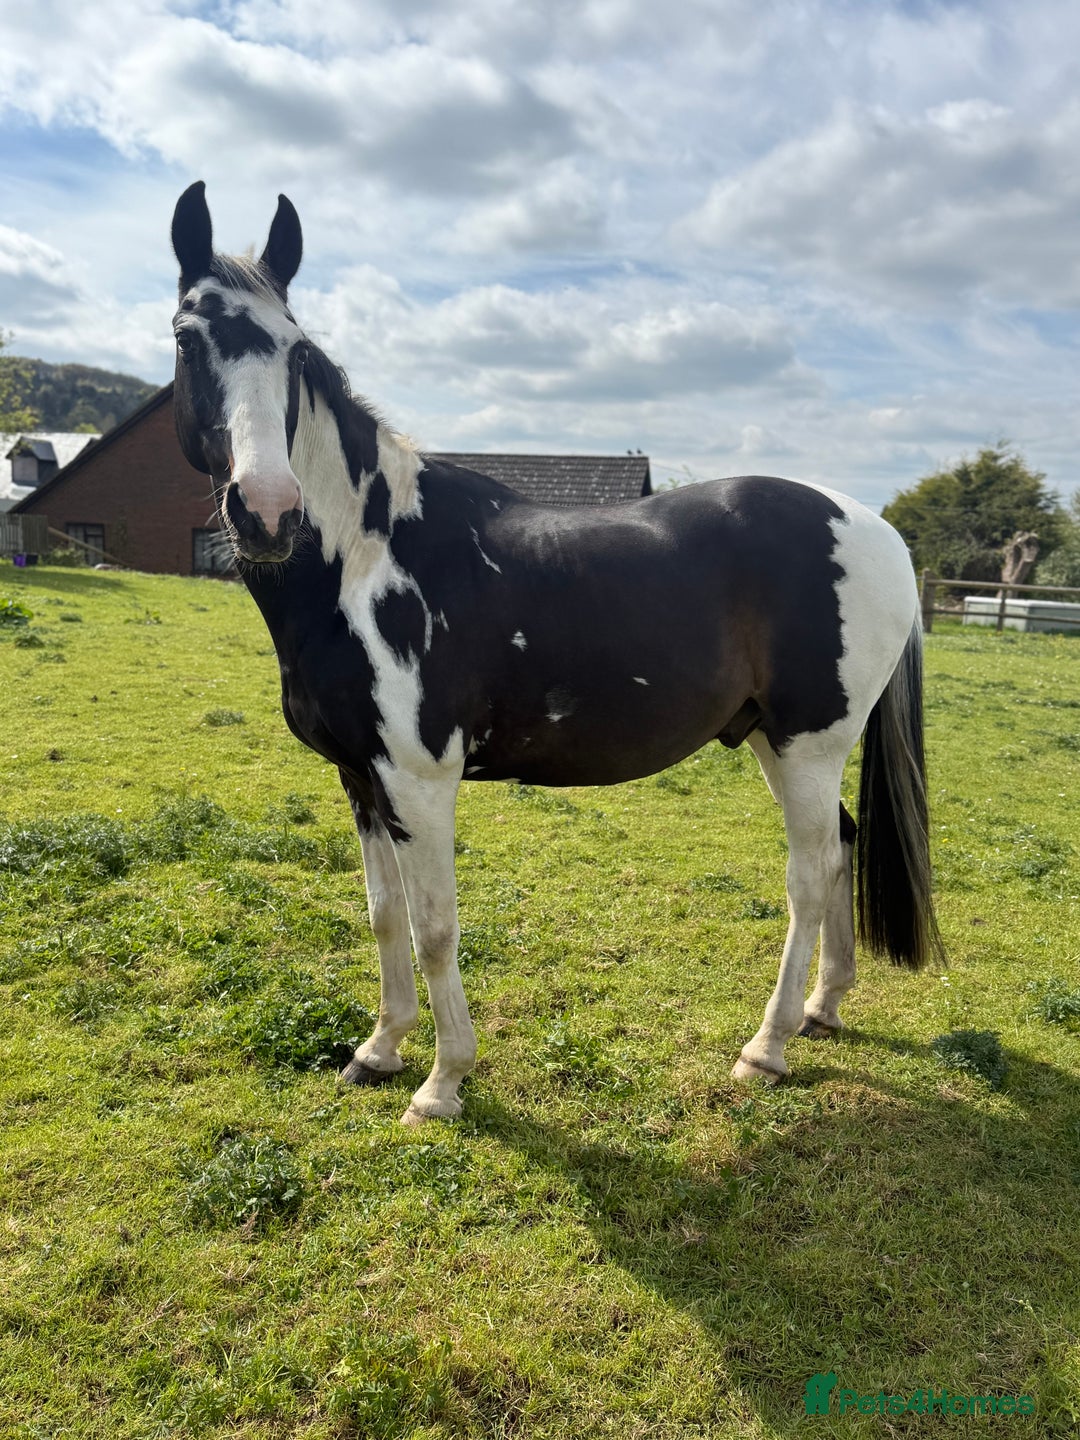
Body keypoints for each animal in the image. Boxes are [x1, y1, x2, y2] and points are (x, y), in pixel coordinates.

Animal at [170, 181, 941, 1124]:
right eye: (188, 335)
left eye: (296, 349)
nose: (268, 508)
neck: (364, 554)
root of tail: (878, 530)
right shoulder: (360, 777)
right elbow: (384, 916)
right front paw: (378, 1051)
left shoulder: (419, 782)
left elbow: (434, 928)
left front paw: (442, 1082)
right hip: (773, 737)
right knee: (840, 849)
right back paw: (823, 1009)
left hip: (810, 743)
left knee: (812, 870)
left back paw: (767, 1048)